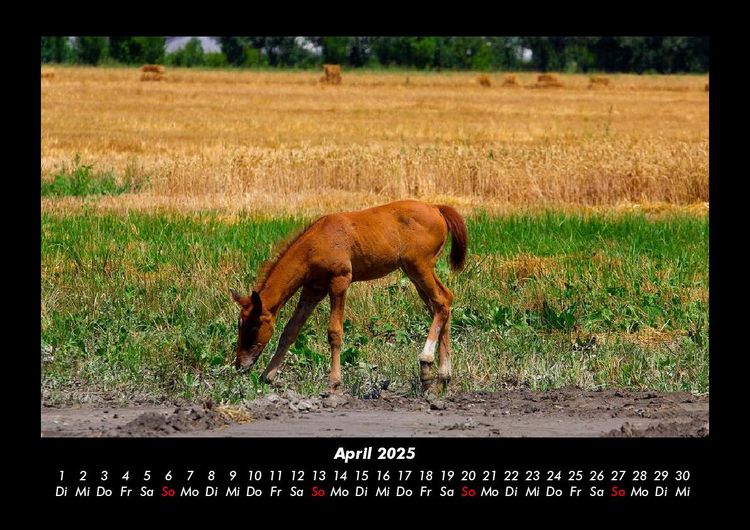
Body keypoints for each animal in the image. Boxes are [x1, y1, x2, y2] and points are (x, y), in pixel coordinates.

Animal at [230, 199, 468, 392]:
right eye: (240, 325)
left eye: (253, 326)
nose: (239, 364)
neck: (317, 242)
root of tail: (436, 208)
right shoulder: (312, 289)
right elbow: (290, 330)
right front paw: (267, 375)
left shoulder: (340, 280)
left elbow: (334, 332)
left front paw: (334, 381)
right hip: (413, 272)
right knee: (442, 304)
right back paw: (442, 376)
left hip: (420, 266)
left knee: (441, 301)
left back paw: (426, 363)